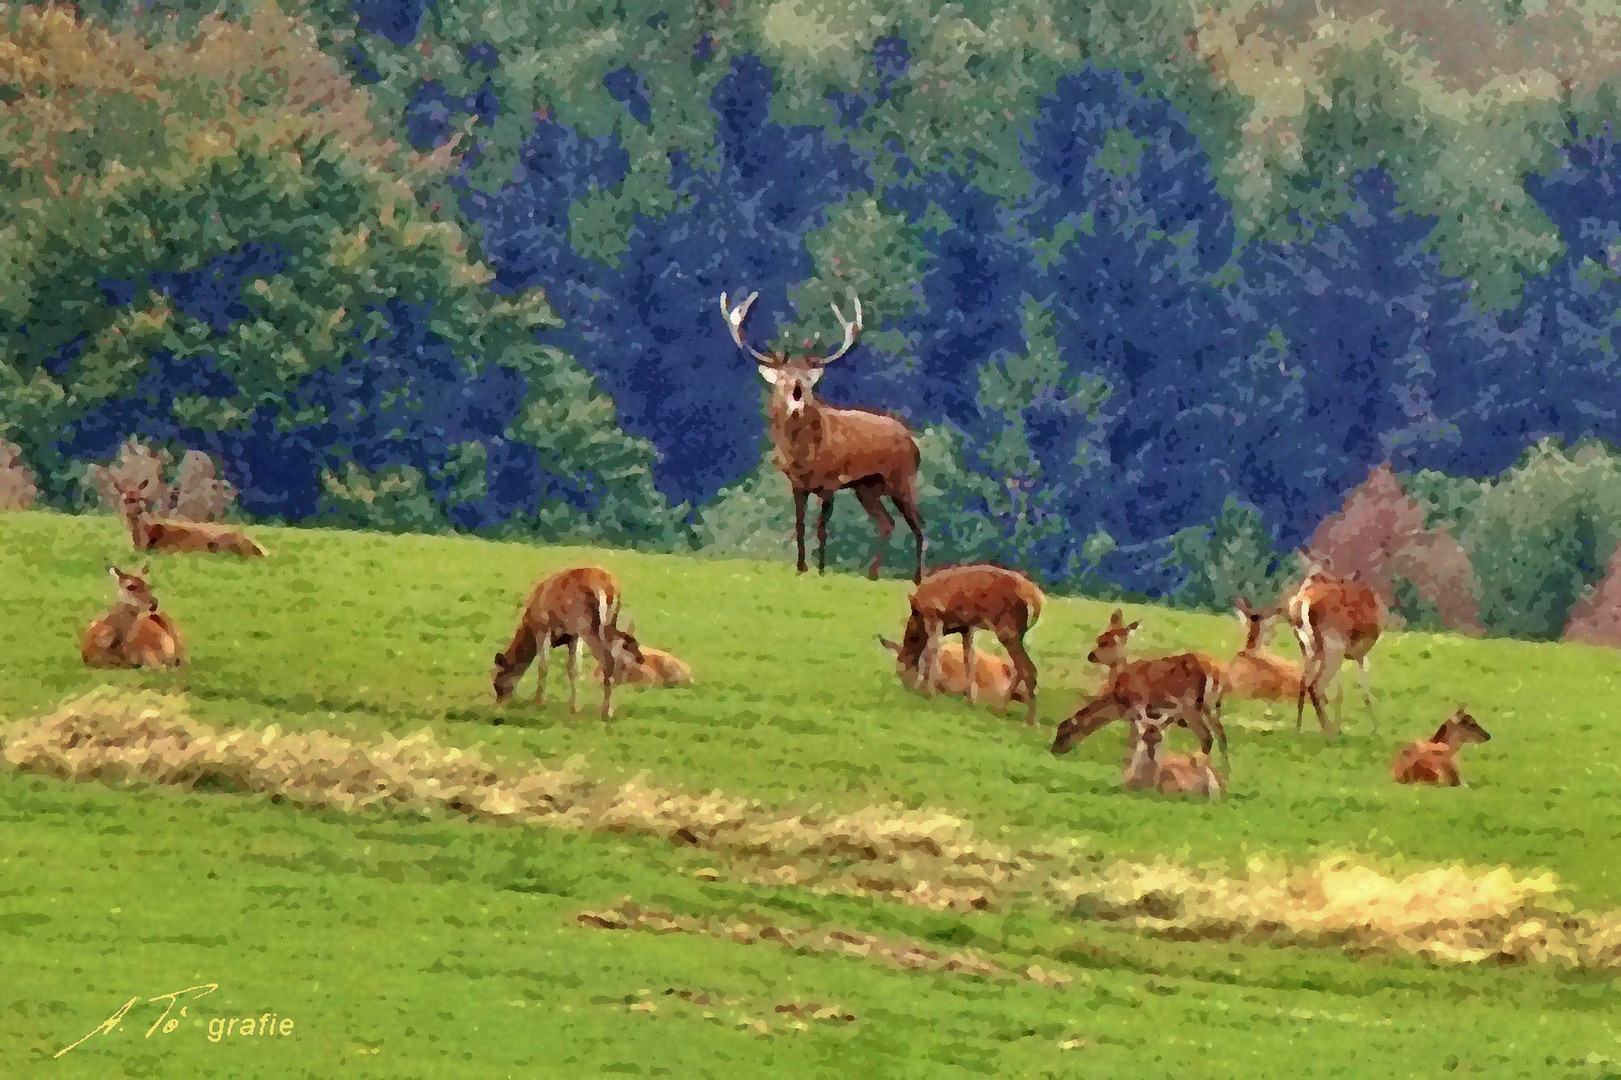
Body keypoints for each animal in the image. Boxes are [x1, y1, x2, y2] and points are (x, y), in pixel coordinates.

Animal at [492, 557, 645, 720]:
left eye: (496, 682)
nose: (498, 702)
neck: (529, 625)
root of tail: (608, 586)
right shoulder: (573, 636)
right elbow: (574, 667)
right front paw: (573, 707)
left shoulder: (543, 628)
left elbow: (543, 666)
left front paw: (538, 702)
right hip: (605, 623)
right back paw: (609, 709)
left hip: (586, 624)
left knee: (607, 658)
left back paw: (606, 712)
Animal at [1283, 551, 1387, 736]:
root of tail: (1304, 602)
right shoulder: (1359, 653)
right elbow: (1364, 688)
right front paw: (1376, 728)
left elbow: (1339, 692)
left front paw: (1340, 727)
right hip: (1333, 647)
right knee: (1316, 686)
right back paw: (1328, 731)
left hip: (1311, 648)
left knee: (1304, 682)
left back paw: (1299, 727)